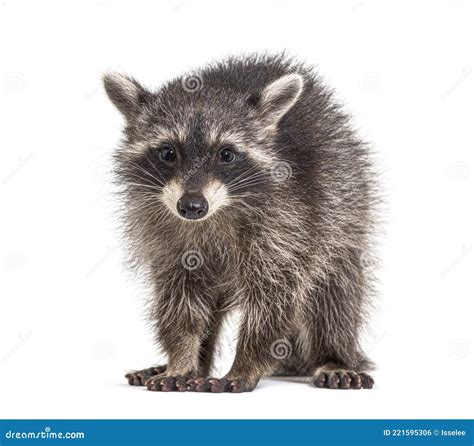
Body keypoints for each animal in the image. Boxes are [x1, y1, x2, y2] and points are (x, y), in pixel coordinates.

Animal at [103, 54, 378, 392]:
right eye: (168, 152)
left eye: (226, 154)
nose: (191, 206)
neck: (216, 212)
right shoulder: (163, 233)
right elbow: (179, 301)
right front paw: (181, 359)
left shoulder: (289, 222)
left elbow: (273, 299)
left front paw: (245, 364)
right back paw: (196, 365)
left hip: (344, 211)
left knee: (335, 292)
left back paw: (334, 355)